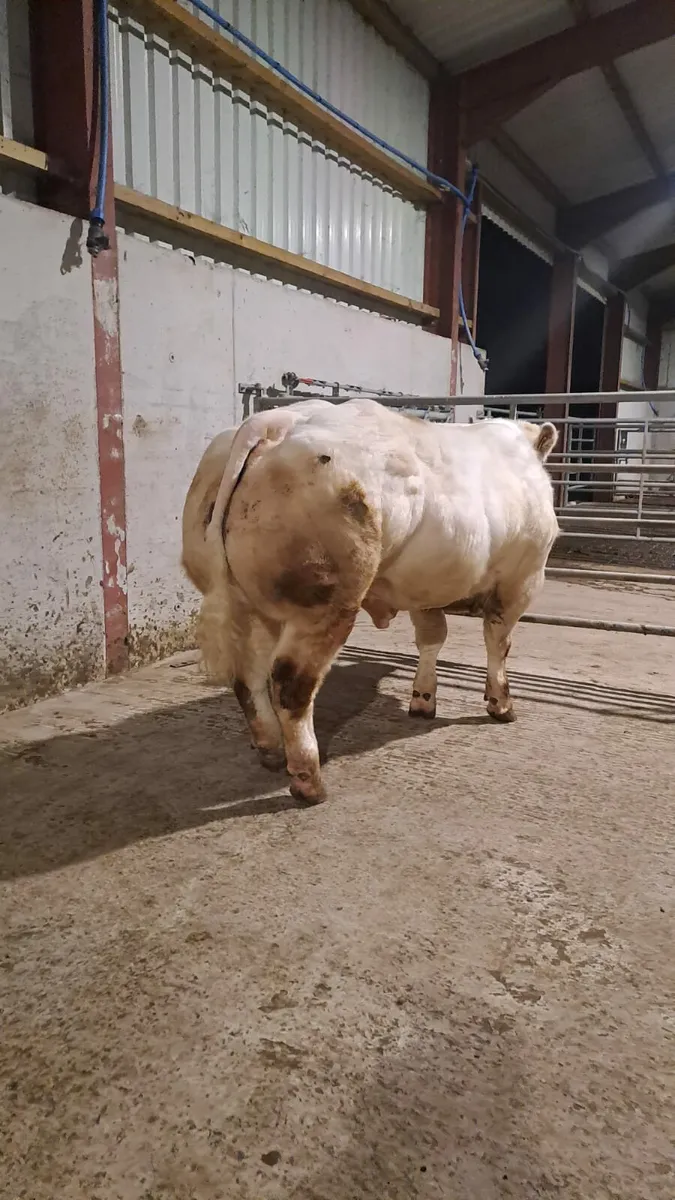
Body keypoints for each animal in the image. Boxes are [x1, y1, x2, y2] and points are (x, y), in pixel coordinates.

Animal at [182, 399, 559, 805]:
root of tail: (277, 419)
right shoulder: (522, 579)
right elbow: (497, 643)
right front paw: (500, 704)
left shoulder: (426, 584)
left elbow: (432, 638)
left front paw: (423, 699)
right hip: (325, 605)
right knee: (290, 684)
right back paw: (309, 780)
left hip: (249, 603)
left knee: (248, 673)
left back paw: (270, 749)